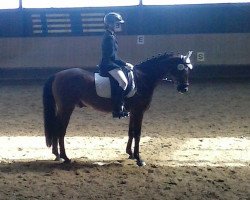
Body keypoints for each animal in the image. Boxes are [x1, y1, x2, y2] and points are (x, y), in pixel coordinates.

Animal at [42, 51, 193, 166]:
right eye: (183, 69)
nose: (184, 88)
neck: (143, 78)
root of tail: (57, 75)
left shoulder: (133, 112)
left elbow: (131, 132)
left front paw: (130, 154)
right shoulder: (139, 111)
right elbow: (138, 133)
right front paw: (139, 159)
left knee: (56, 128)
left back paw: (57, 155)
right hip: (66, 108)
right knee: (60, 130)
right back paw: (65, 157)